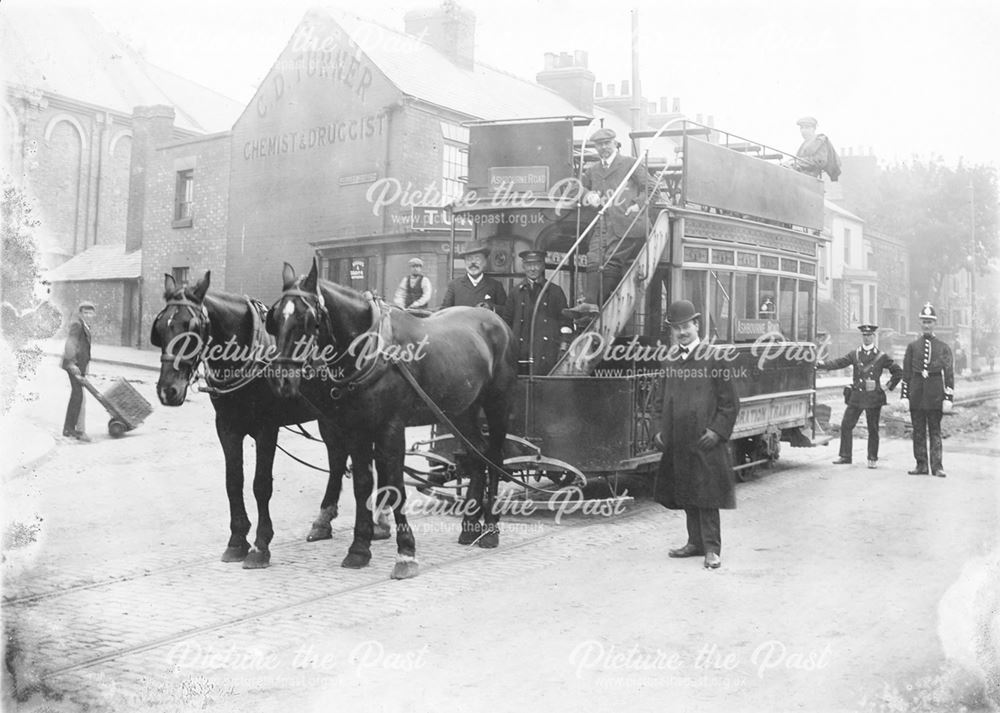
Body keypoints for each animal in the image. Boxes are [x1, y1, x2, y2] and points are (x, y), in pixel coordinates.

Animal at [150, 270, 388, 572]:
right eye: (161, 326)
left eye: (191, 325)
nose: (168, 390)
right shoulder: (227, 427)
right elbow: (233, 482)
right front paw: (236, 541)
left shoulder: (266, 428)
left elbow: (260, 485)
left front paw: (260, 546)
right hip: (329, 417)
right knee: (337, 459)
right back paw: (323, 521)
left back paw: (381, 521)